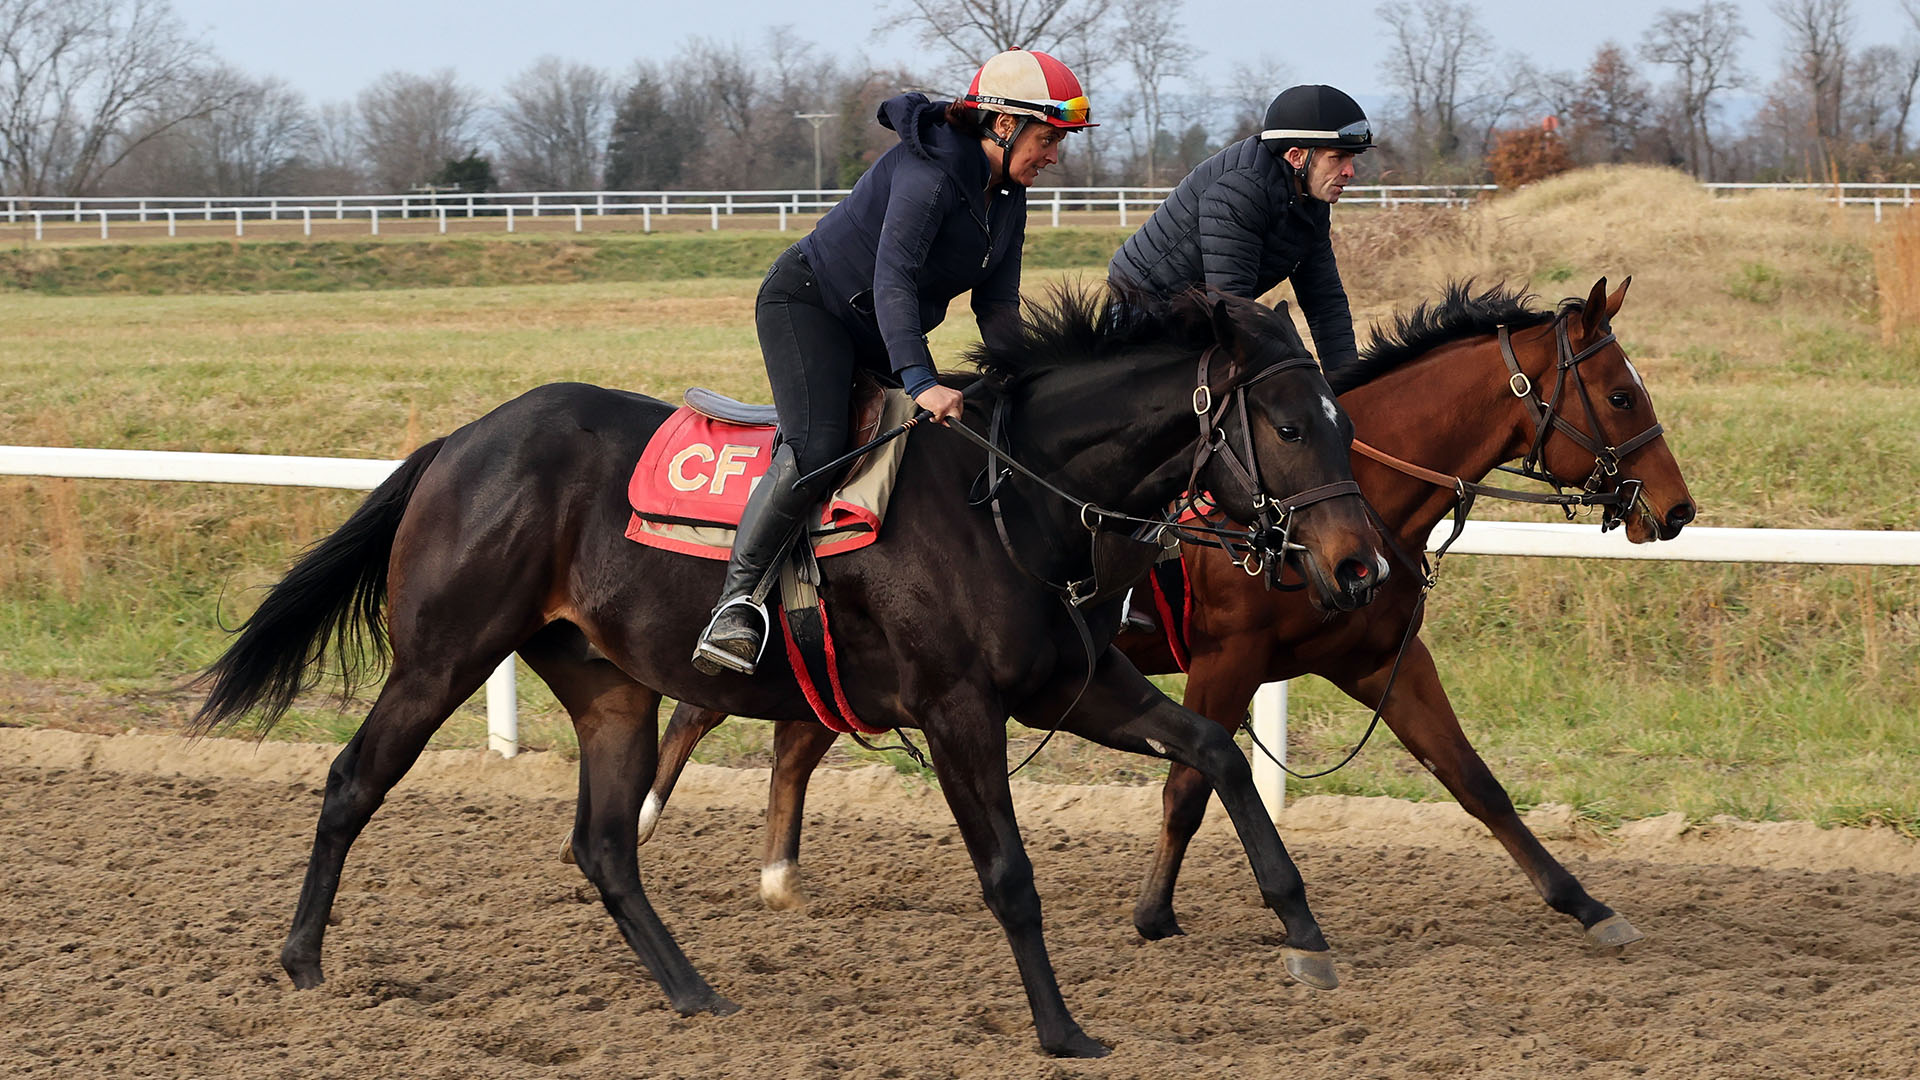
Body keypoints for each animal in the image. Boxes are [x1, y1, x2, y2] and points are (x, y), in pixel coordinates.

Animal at [194, 284, 1390, 1053]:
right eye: (1290, 425)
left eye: (1343, 420)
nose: (1360, 564)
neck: (1013, 497)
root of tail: (461, 438)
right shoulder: (959, 708)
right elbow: (1009, 874)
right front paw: (1063, 1030)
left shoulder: (1073, 685)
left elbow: (1214, 754)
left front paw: (1304, 932)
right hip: (443, 654)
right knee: (353, 782)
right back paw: (302, 962)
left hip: (610, 682)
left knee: (604, 846)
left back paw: (696, 995)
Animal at [633, 274, 1697, 949]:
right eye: (1618, 392)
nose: (1677, 508)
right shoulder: (1227, 658)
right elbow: (1188, 789)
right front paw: (1155, 912)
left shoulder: (1377, 659)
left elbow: (1475, 783)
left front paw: (1586, 904)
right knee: (708, 706)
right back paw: (654, 815)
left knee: (796, 735)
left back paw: (776, 871)